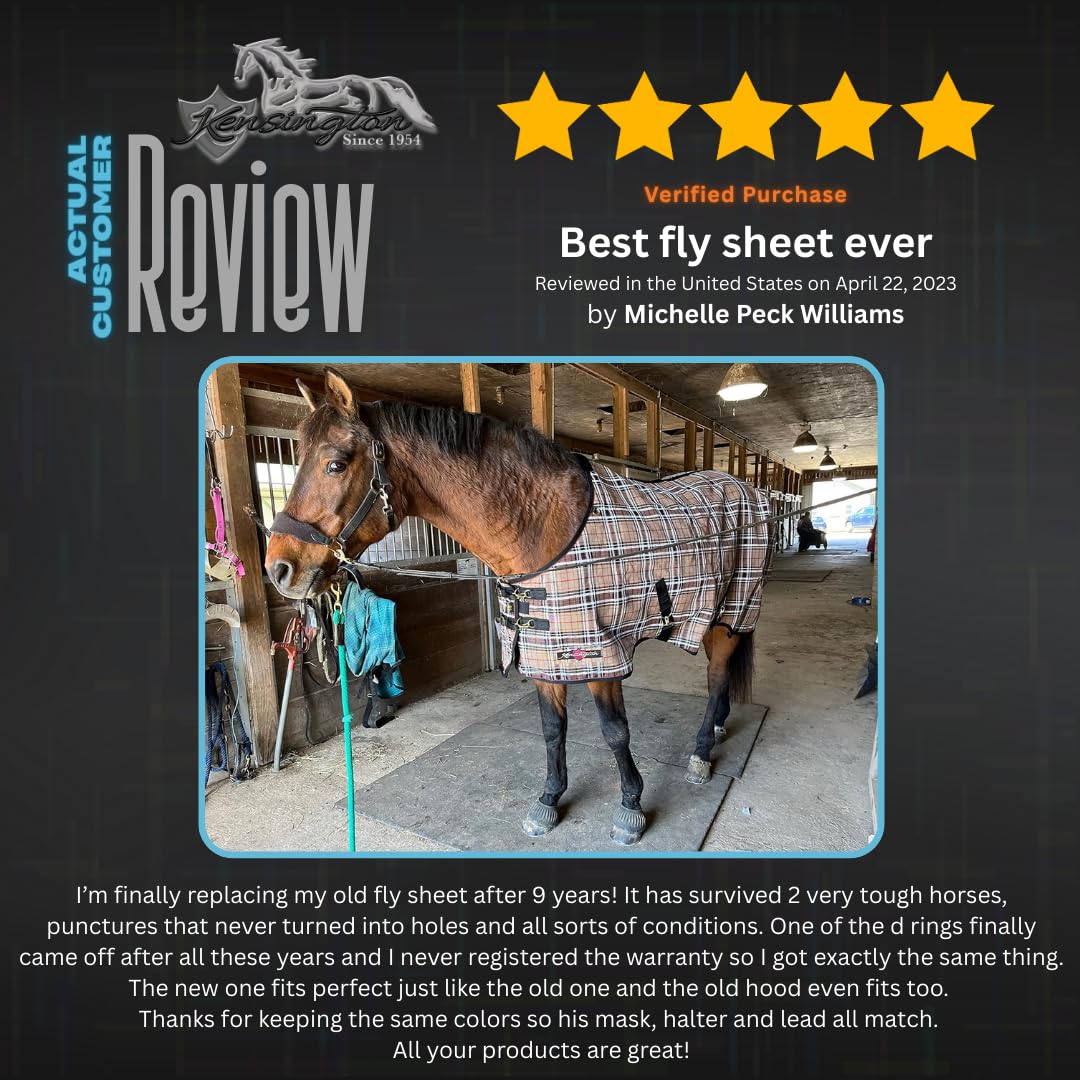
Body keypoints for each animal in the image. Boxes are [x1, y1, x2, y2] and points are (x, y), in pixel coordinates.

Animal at [264, 370, 771, 847]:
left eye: (335, 464)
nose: (279, 570)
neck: (545, 529)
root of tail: (749, 491)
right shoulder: (543, 652)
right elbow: (552, 730)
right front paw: (548, 801)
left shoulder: (599, 656)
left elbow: (615, 732)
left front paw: (630, 808)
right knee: (718, 680)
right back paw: (717, 731)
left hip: (731, 613)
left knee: (716, 678)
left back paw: (702, 754)